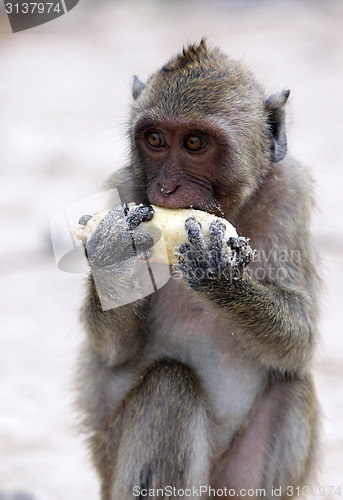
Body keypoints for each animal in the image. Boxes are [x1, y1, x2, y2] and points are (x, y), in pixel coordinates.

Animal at [77, 40, 320, 500]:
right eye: (155, 139)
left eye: (194, 143)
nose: (166, 188)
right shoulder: (128, 190)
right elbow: (114, 353)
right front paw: (113, 250)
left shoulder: (289, 195)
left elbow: (300, 341)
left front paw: (217, 272)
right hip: (113, 468)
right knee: (169, 385)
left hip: (234, 480)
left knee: (292, 384)